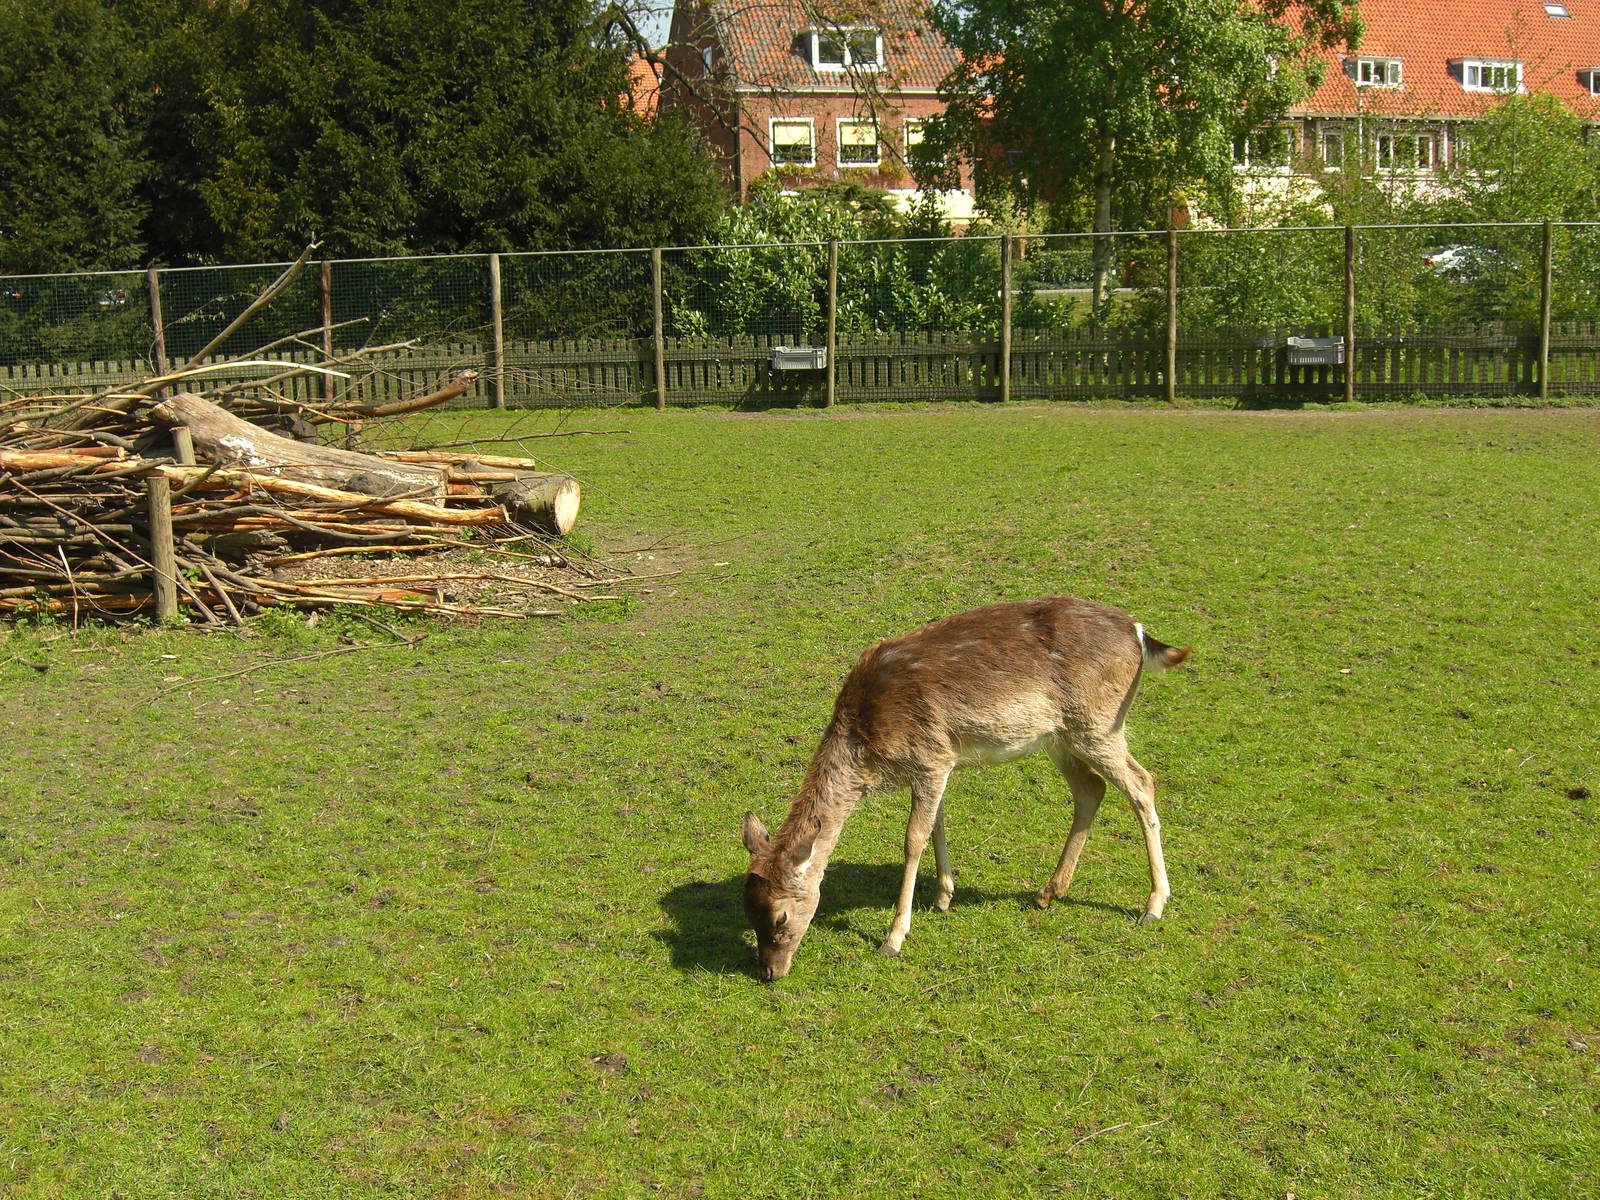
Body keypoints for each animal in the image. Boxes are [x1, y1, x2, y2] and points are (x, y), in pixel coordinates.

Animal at [740, 596, 1190, 981]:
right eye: (748, 912)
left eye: (781, 917)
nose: (769, 972)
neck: (869, 743)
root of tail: (1138, 631)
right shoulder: (939, 764)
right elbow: (937, 822)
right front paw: (943, 897)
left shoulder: (931, 756)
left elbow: (913, 838)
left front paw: (893, 937)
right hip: (1061, 736)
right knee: (1090, 790)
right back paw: (1047, 892)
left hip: (1098, 723)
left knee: (1142, 784)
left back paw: (1153, 905)